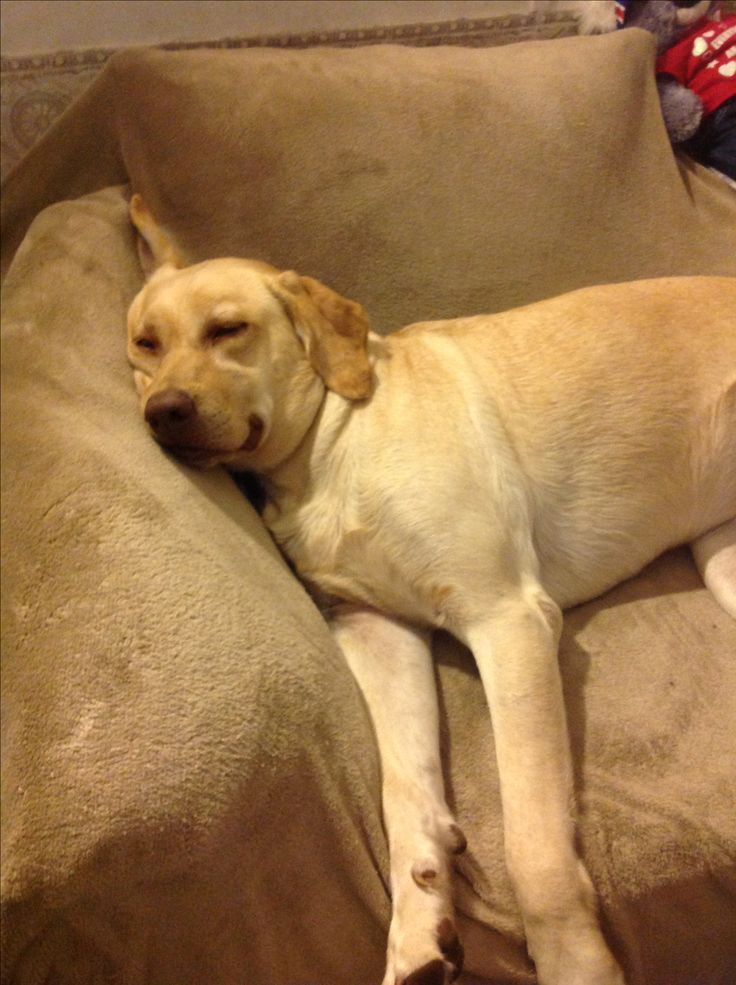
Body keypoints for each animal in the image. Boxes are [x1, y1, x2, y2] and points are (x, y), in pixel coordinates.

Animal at [126, 194, 736, 984]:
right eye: (145, 343)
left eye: (229, 329)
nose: (162, 411)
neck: (328, 452)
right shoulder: (378, 630)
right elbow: (402, 792)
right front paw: (418, 931)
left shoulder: (508, 621)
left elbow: (534, 845)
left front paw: (572, 961)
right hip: (723, 562)